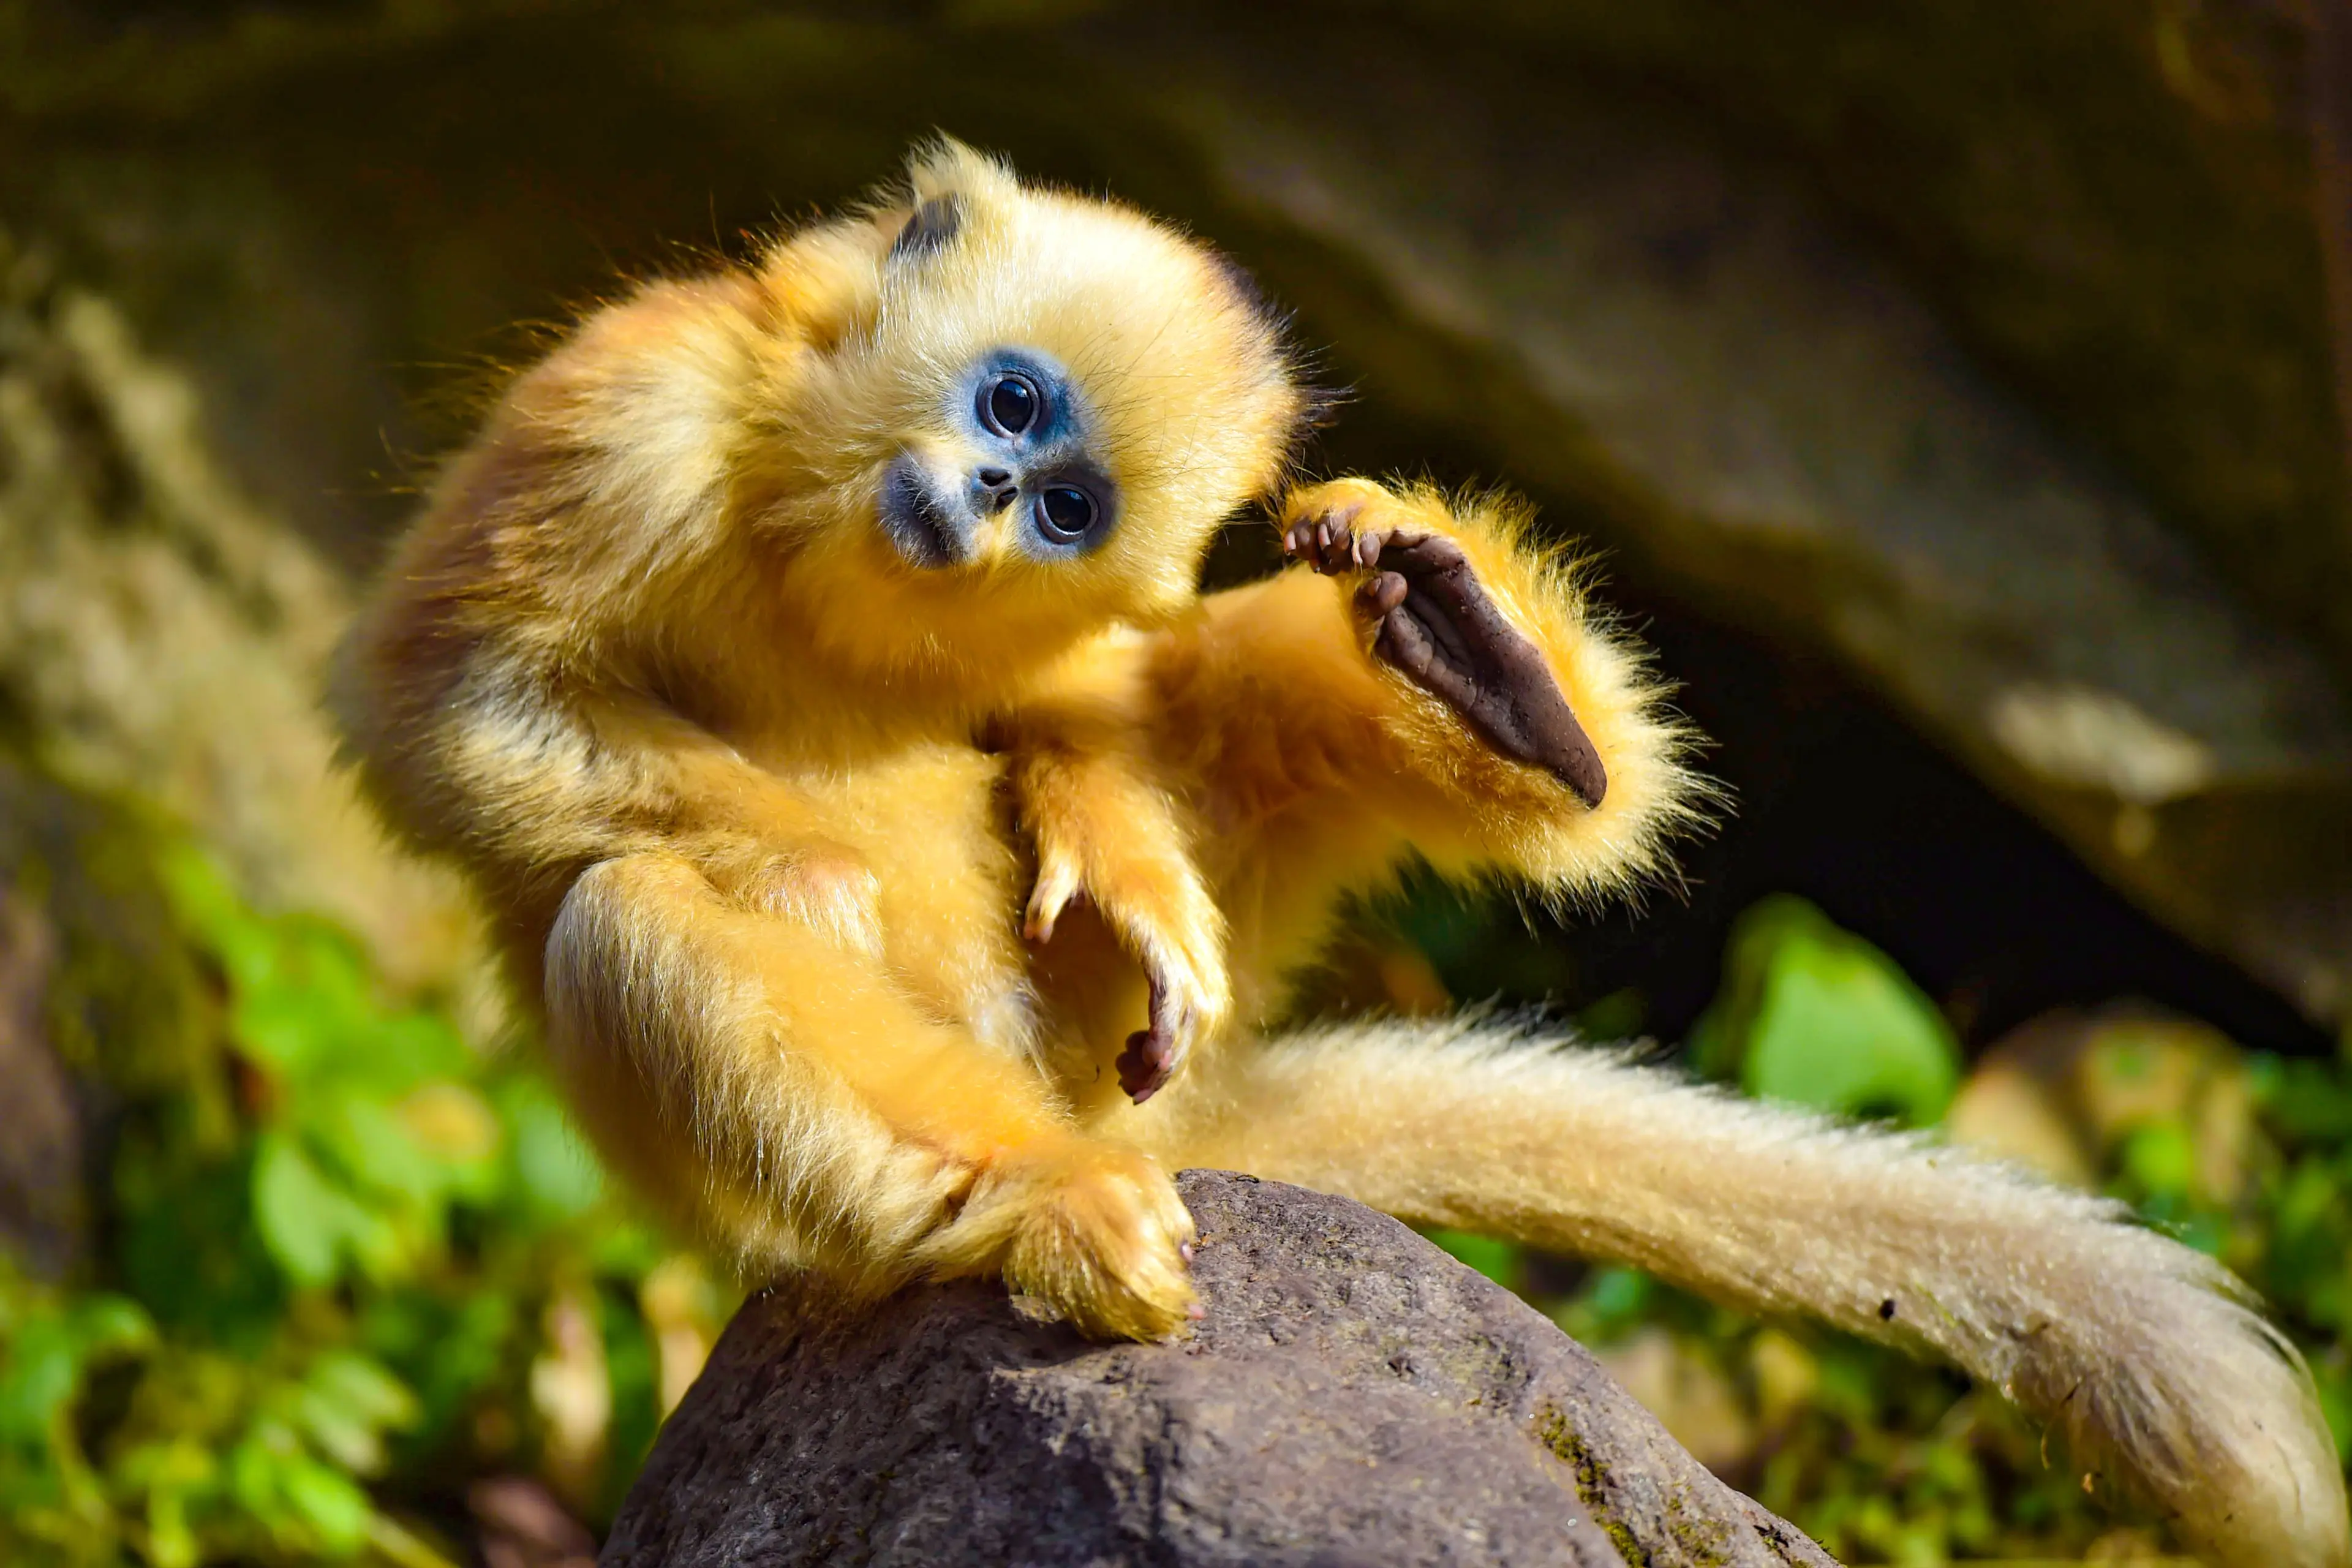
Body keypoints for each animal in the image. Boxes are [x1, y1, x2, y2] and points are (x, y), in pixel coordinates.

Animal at [337, 140, 2349, 1567]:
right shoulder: (636, 413)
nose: (983, 499)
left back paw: (1499, 689)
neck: (825, 534)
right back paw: (1024, 1200)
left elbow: (1100, 693)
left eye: (1067, 500)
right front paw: (797, 860)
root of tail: (1120, 1114)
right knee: (631, 912)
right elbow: (448, 704)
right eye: (1008, 404)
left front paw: (1120, 847)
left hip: (1140, 1020)